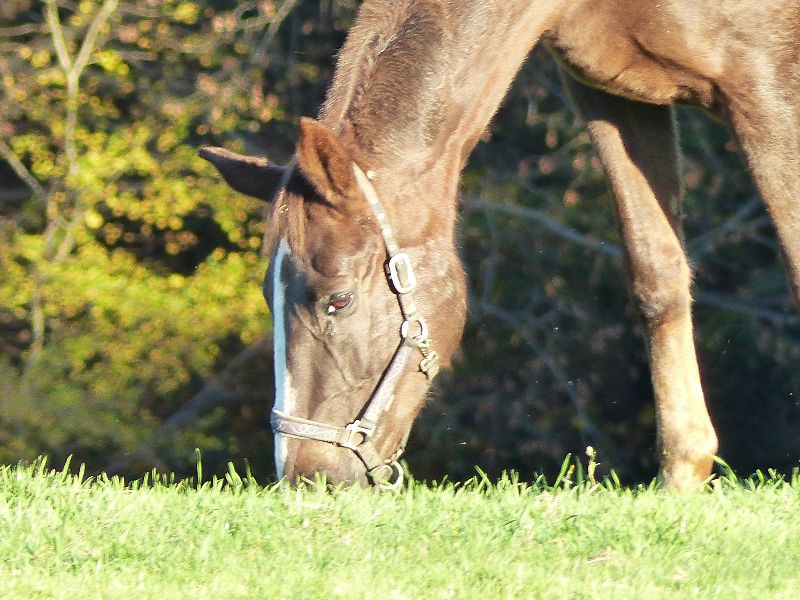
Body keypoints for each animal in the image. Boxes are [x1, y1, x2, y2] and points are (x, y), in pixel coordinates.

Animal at [202, 0, 800, 490]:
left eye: (338, 301)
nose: (306, 477)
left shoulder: (766, 83)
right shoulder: (613, 98)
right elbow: (657, 274)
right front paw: (682, 475)